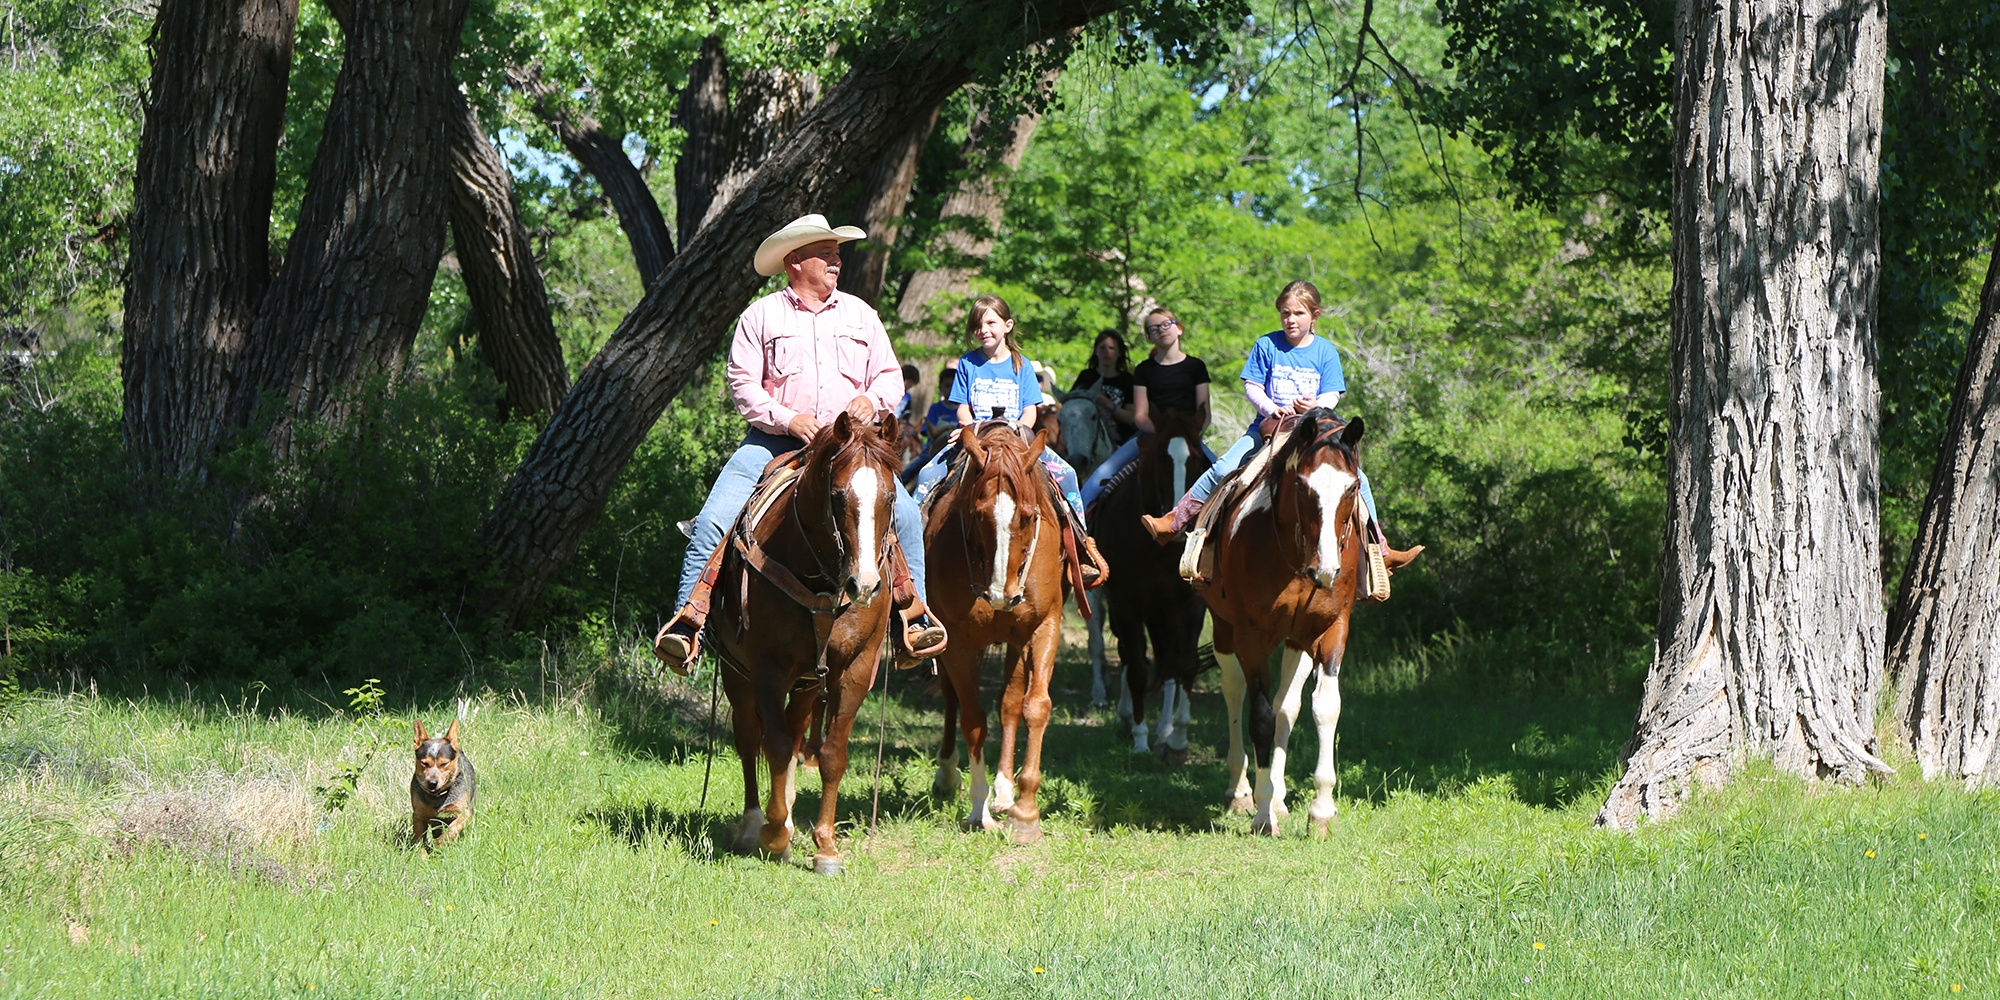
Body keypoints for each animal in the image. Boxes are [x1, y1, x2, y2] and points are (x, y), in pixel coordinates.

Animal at [696, 408, 900, 876]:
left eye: (891, 497)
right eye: (838, 496)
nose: (864, 584)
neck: (823, 580)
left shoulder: (856, 669)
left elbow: (831, 754)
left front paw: (826, 847)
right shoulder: (766, 668)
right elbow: (771, 743)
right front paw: (773, 834)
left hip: (809, 683)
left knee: (794, 732)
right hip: (737, 672)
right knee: (750, 736)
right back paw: (756, 824)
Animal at [924, 418, 1080, 840]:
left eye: (1027, 516)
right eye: (978, 514)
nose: (1002, 595)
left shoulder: (1043, 626)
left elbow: (1034, 706)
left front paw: (1025, 811)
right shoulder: (957, 642)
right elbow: (973, 719)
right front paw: (979, 810)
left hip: (1015, 641)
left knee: (1009, 705)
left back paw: (1005, 792)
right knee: (953, 700)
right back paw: (948, 776)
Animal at [1096, 406, 1216, 756]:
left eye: (1197, 460)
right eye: (1161, 458)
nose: (1179, 521)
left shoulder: (1189, 605)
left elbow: (1185, 664)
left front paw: (1177, 739)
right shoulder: (1125, 606)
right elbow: (1136, 668)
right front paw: (1139, 739)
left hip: (1163, 615)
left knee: (1168, 663)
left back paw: (1164, 730)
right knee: (1129, 657)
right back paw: (1128, 718)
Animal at [1192, 406, 1416, 836]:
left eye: (1352, 487)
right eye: (1301, 485)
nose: (1326, 569)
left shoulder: (1329, 629)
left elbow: (1322, 707)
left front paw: (1320, 811)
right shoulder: (1250, 634)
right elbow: (1260, 717)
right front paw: (1262, 814)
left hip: (1296, 640)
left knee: (1287, 705)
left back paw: (1279, 797)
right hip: (1225, 628)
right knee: (1234, 691)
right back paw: (1242, 791)